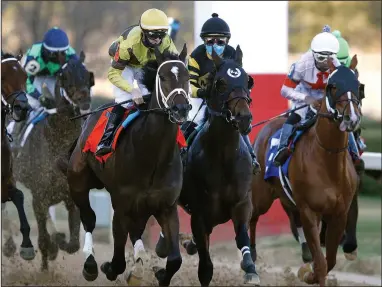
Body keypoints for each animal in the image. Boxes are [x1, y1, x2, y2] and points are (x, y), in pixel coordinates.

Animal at [9, 52, 93, 272]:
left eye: (87, 74)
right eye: (65, 76)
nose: (84, 99)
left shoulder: (71, 198)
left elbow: (73, 244)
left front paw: (60, 241)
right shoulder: (39, 197)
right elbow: (44, 240)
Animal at [65, 45, 192, 286]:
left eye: (188, 77)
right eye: (162, 77)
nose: (181, 109)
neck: (153, 156)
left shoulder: (166, 206)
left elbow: (175, 260)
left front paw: (158, 273)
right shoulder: (121, 204)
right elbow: (117, 259)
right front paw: (111, 267)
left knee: (136, 231)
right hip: (78, 182)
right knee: (89, 219)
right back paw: (90, 264)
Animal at [157, 47, 262, 286]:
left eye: (247, 80)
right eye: (221, 83)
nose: (244, 118)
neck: (223, 157)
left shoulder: (242, 203)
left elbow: (242, 238)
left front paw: (250, 270)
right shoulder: (199, 214)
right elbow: (205, 267)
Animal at [249, 55, 362, 286]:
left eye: (357, 85)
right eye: (332, 86)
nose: (352, 118)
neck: (328, 161)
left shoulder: (338, 213)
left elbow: (329, 260)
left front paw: (308, 272)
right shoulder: (310, 211)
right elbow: (321, 263)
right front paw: (310, 273)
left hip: (288, 199)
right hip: (262, 198)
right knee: (251, 217)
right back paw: (251, 259)